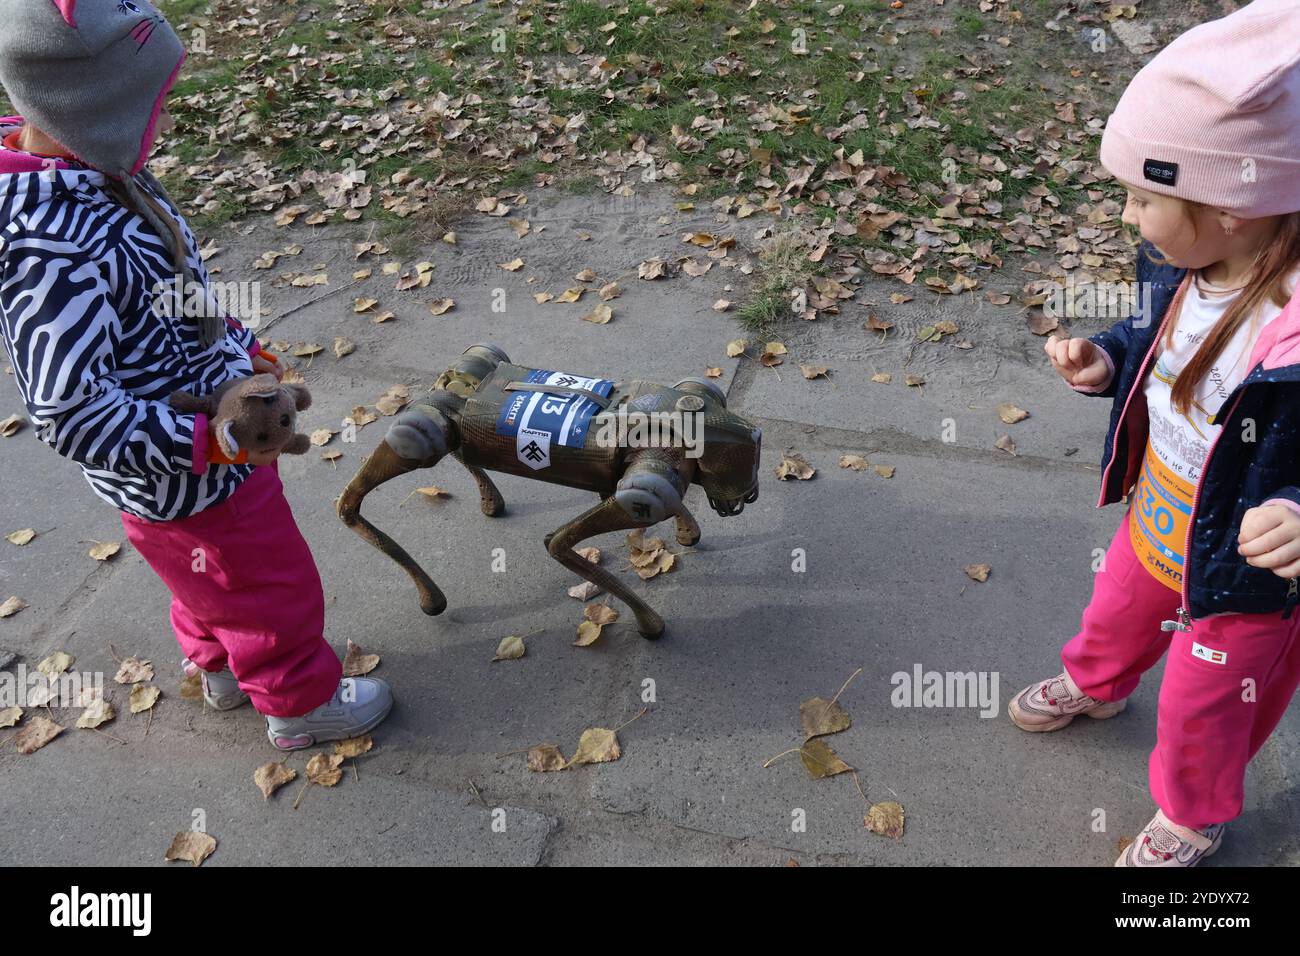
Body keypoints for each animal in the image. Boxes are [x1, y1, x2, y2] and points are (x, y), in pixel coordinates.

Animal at [335, 348, 759, 639]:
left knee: (457, 446)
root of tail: (454, 384)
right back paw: (429, 595)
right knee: (354, 498)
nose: (749, 495)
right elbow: (558, 542)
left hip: (449, 422)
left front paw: (688, 531)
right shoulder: (643, 493)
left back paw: (490, 502)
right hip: (420, 436)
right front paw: (650, 624)